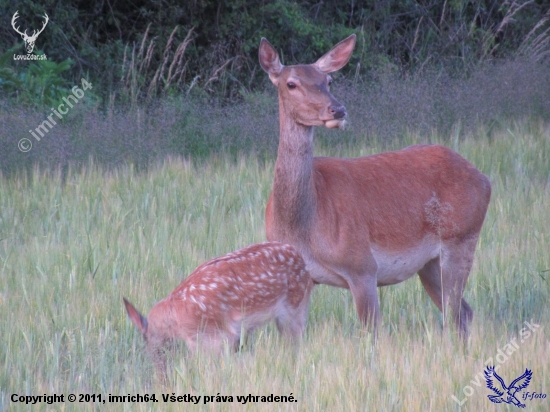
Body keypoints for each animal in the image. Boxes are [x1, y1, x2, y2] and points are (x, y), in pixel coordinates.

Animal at [126, 241, 314, 380]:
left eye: (155, 348)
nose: (161, 375)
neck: (176, 321)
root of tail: (302, 260)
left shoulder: (216, 335)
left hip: (294, 308)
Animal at [260, 34, 494, 338]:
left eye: (329, 80)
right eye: (291, 83)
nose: (338, 109)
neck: (304, 226)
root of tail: (483, 178)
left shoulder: (361, 265)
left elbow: (371, 332)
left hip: (462, 237)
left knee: (455, 313)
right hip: (430, 263)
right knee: (463, 312)